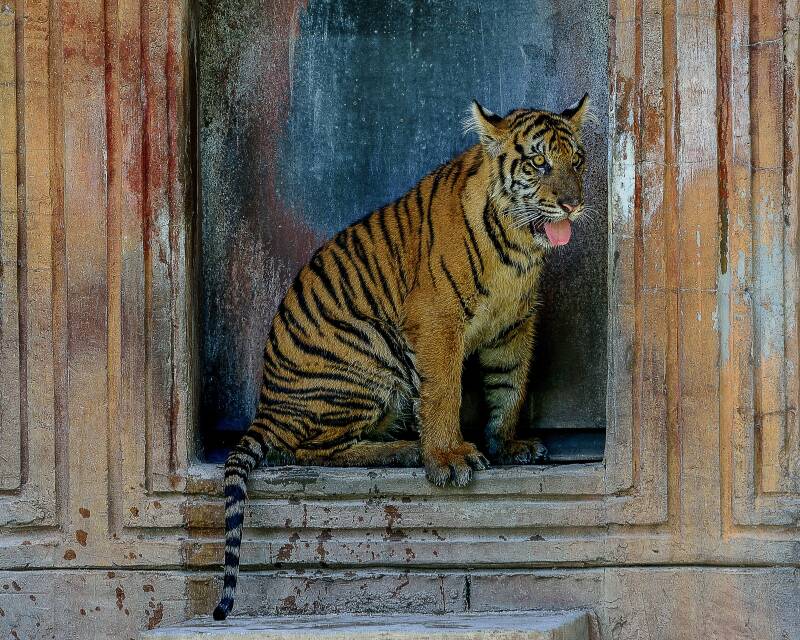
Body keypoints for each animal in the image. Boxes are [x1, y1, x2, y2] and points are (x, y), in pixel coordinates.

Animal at [213, 95, 592, 620]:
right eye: (539, 164)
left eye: (577, 161)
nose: (572, 204)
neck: (518, 247)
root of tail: (267, 406)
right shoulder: (436, 319)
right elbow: (443, 393)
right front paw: (448, 459)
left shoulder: (513, 325)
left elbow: (510, 387)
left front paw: (508, 444)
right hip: (365, 355)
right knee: (313, 450)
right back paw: (404, 449)